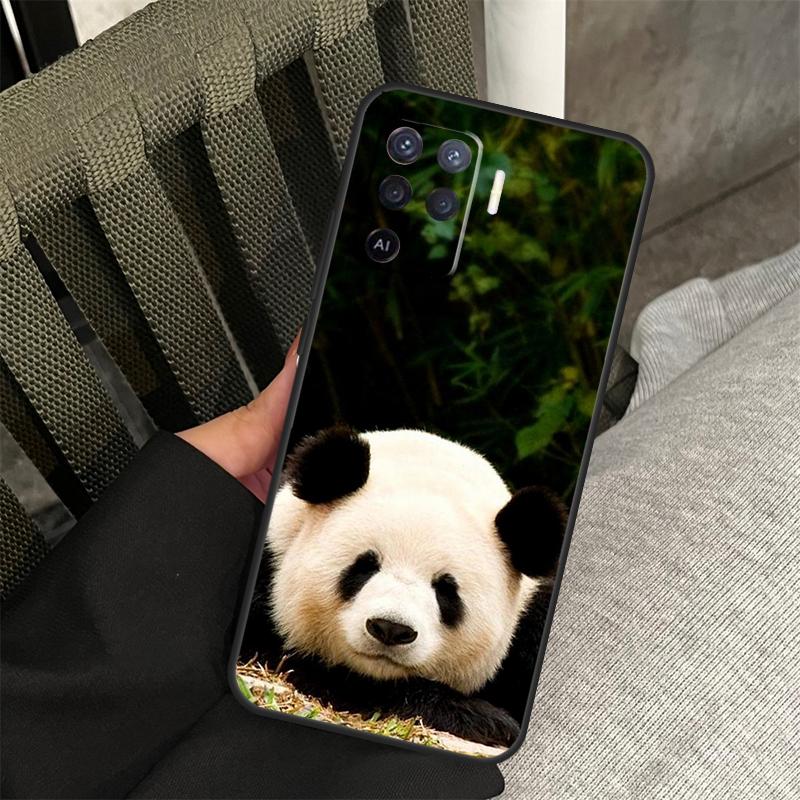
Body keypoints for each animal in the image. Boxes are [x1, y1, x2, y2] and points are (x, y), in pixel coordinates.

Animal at [242, 426, 566, 747]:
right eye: (365, 566)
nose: (391, 629)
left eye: (446, 590)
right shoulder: (270, 563)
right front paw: (481, 718)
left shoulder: (530, 622)